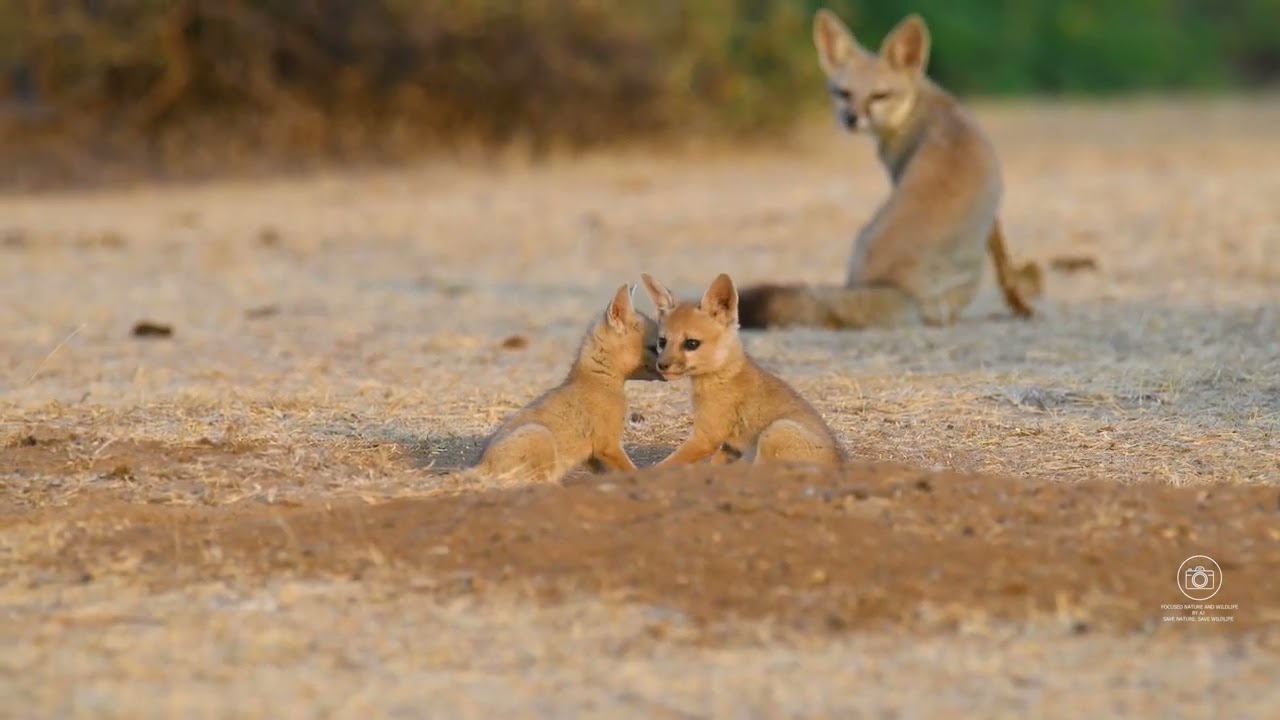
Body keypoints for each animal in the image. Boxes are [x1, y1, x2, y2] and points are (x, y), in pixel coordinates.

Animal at [472, 283, 663, 483]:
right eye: (654, 346)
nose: (667, 368)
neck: (596, 379)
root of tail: (481, 466)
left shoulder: (594, 456)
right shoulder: (608, 445)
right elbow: (633, 469)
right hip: (541, 436)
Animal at [640, 271, 846, 468]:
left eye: (691, 344)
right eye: (662, 342)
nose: (662, 365)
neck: (725, 375)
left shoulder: (706, 437)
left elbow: (664, 465)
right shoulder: (728, 446)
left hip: (775, 431)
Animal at [736, 9, 1042, 331]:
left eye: (879, 96)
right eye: (843, 93)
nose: (851, 119)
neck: (921, 106)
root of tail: (895, 287)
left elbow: (1005, 266)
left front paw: (1019, 304)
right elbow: (1005, 265)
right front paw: (1020, 305)